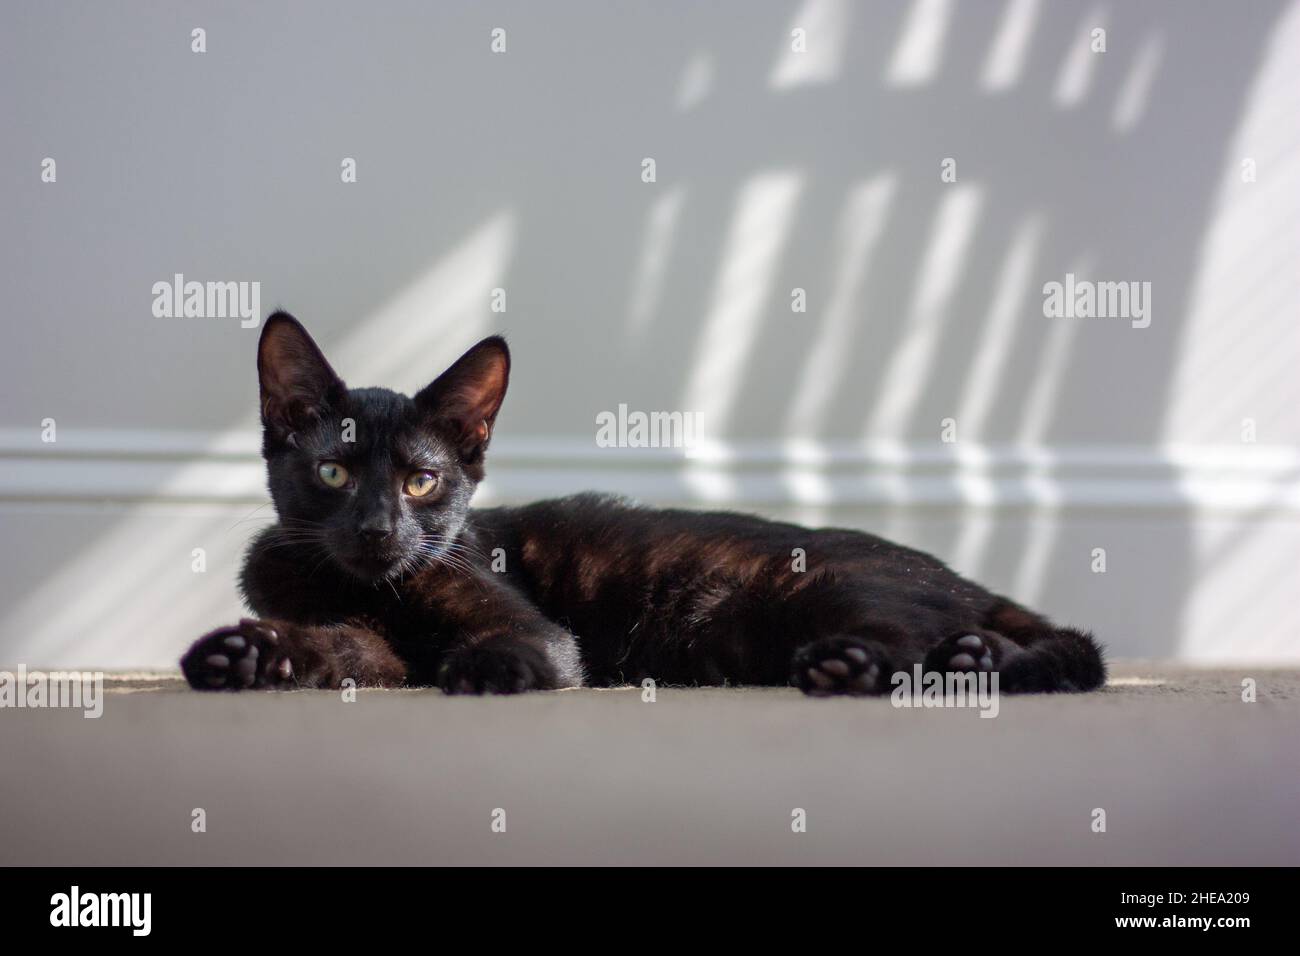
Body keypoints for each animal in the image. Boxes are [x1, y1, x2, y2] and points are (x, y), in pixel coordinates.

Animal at [178, 314, 1102, 697]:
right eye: (334, 473)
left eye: (421, 481)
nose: (378, 529)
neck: (365, 587)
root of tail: (957, 577)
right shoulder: (369, 641)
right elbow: (348, 651)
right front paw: (251, 656)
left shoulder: (533, 627)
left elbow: (522, 648)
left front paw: (484, 669)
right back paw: (977, 660)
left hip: (821, 594)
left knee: (919, 649)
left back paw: (870, 668)